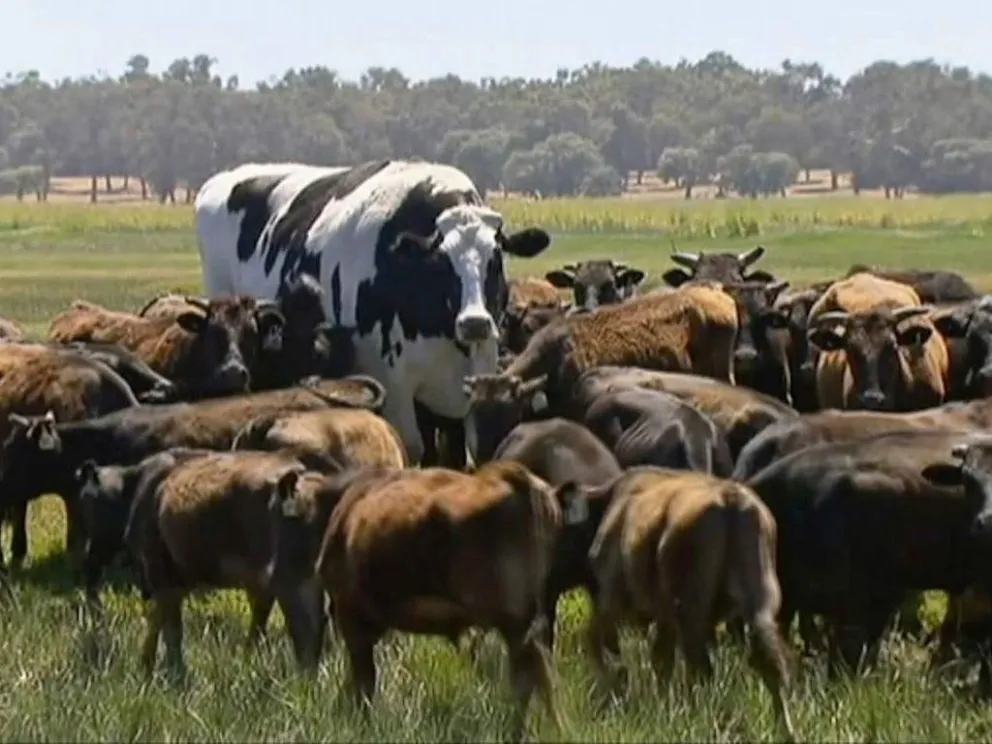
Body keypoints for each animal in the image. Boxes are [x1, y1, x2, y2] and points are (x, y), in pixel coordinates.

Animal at [194, 160, 552, 464]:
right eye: (440, 260)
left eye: (496, 258)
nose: (474, 322)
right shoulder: (392, 383)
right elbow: (411, 446)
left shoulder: (475, 376)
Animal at [316, 460, 588, 739]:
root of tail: (519, 479)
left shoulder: (352, 618)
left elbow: (364, 683)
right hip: (530, 619)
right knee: (538, 673)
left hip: (515, 622)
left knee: (531, 676)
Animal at [585, 467, 794, 740]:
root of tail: (732, 501)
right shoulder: (664, 618)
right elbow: (661, 661)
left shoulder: (614, 600)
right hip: (758, 608)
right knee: (769, 663)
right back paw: (785, 730)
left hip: (691, 613)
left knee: (700, 667)